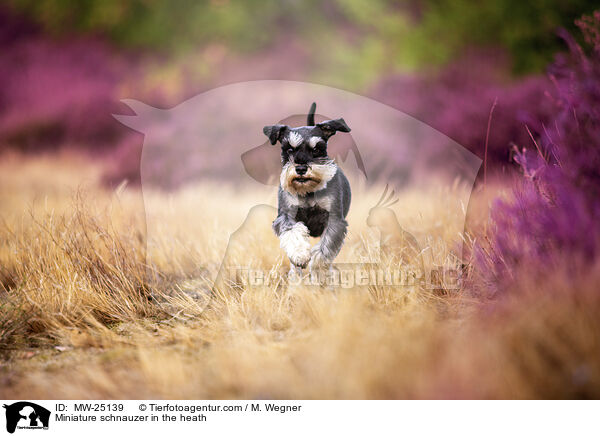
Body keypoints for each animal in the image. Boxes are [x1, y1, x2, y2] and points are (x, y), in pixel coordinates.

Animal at [262, 103, 352, 272]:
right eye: (289, 149)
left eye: (316, 149)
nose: (301, 169)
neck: (308, 191)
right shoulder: (286, 216)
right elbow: (293, 233)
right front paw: (300, 255)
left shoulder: (334, 220)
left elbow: (324, 249)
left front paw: (318, 267)